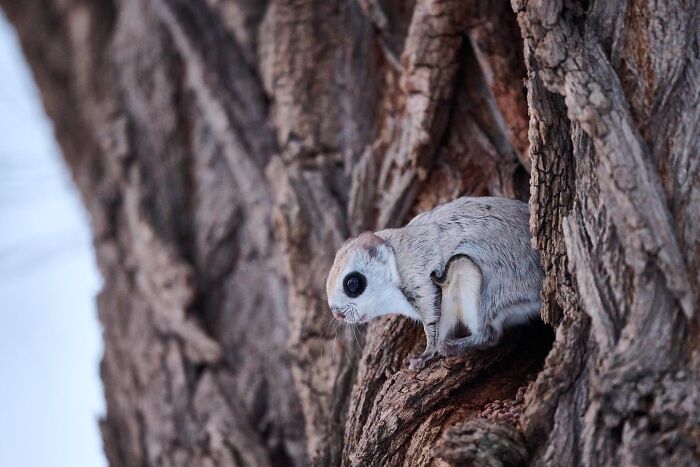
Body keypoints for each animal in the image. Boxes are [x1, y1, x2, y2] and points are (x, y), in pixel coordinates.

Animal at [325, 197, 544, 369]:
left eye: (352, 283)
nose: (337, 314)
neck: (395, 259)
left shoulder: (421, 282)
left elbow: (432, 326)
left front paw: (425, 354)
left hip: (469, 276)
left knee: (488, 335)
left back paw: (451, 347)